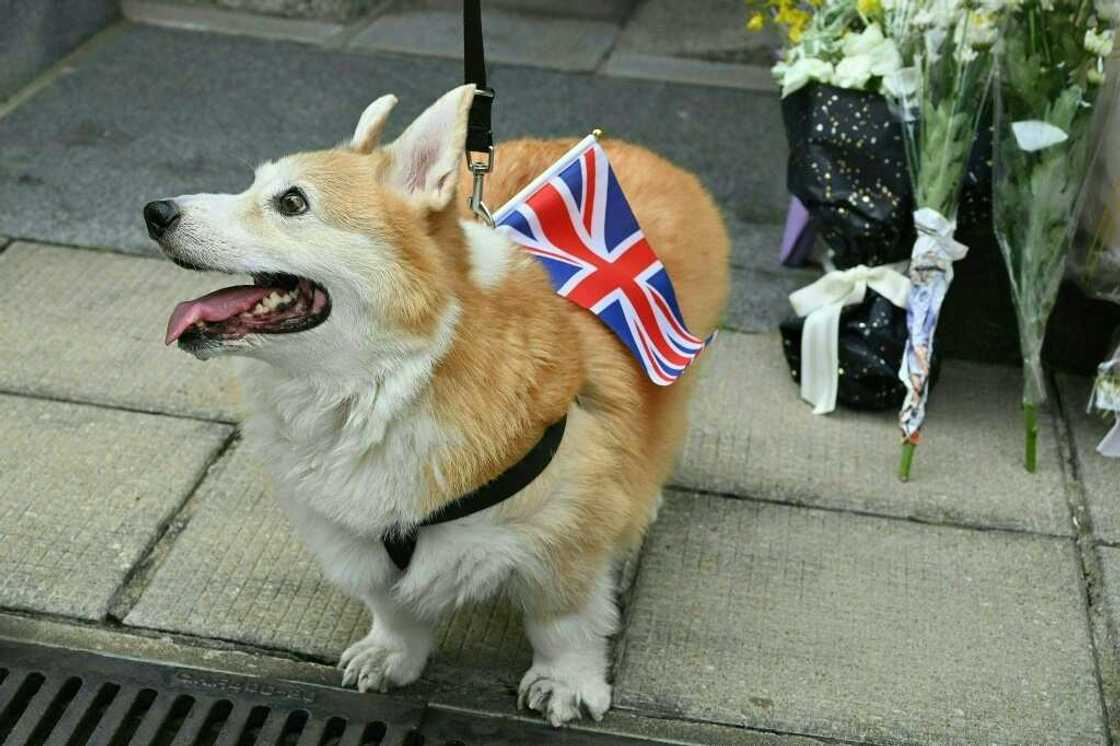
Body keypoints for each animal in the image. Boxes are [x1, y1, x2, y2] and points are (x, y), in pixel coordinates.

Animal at [144, 84, 730, 721]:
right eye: (252, 186)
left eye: (293, 202)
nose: (155, 212)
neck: (391, 380)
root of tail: (639, 150)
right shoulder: (357, 535)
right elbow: (394, 607)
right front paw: (390, 654)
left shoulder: (567, 537)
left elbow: (564, 623)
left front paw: (566, 684)